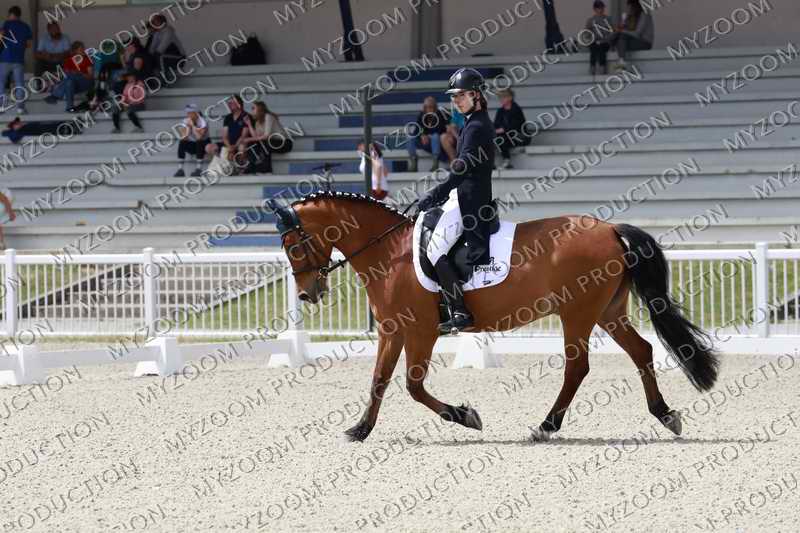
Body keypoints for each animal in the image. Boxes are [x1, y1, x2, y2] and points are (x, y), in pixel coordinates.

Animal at [269, 191, 719, 442]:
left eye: (292, 244)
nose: (309, 294)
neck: (388, 251)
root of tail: (609, 228)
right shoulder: (392, 330)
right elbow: (379, 380)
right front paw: (360, 430)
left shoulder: (423, 331)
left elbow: (413, 386)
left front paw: (466, 417)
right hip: (607, 311)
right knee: (642, 351)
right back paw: (666, 415)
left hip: (577, 312)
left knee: (578, 367)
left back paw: (546, 426)